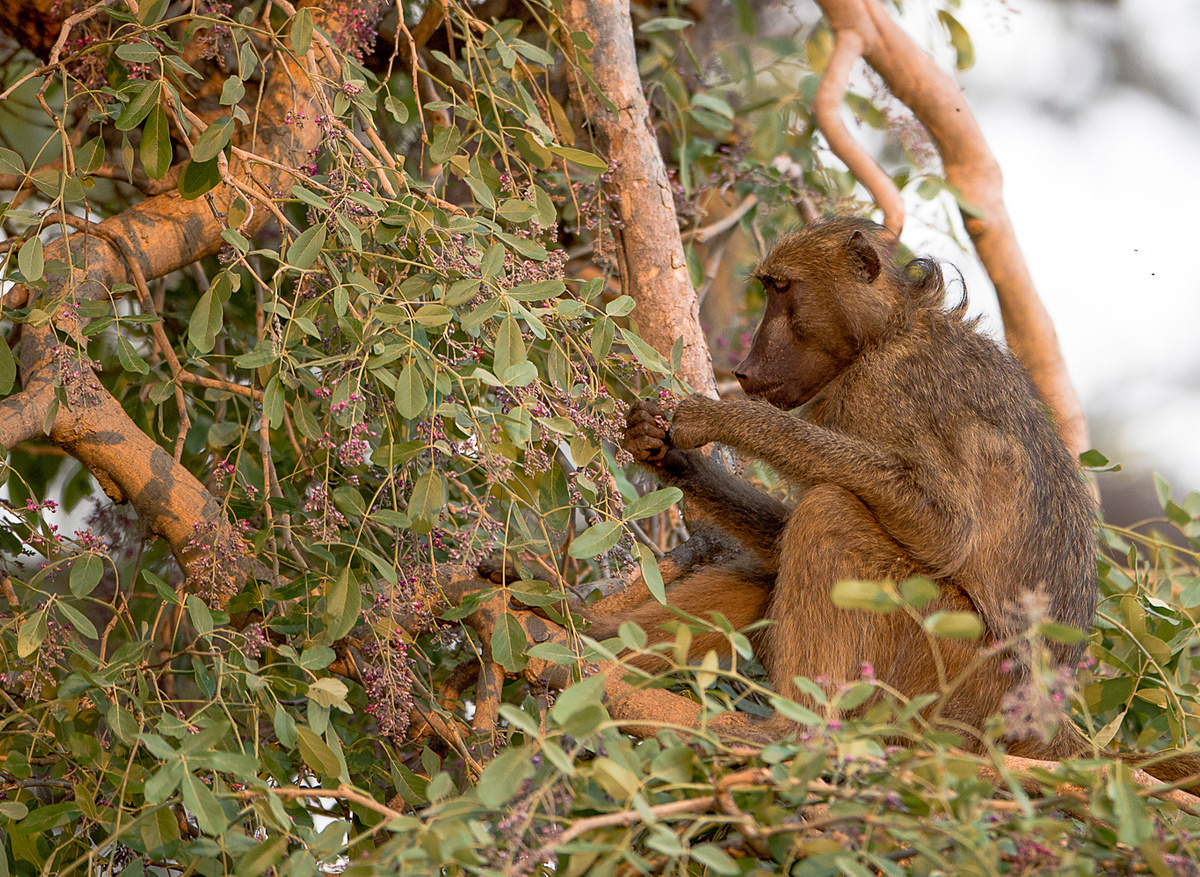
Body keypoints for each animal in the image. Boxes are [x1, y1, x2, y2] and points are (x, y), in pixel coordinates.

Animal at [600, 216, 1101, 759]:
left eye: (783, 289)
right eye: (769, 289)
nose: (745, 371)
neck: (888, 330)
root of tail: (1043, 715)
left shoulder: (883, 390)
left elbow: (948, 533)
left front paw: (725, 419)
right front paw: (665, 453)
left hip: (952, 672)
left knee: (829, 513)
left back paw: (793, 729)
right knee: (771, 564)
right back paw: (588, 640)